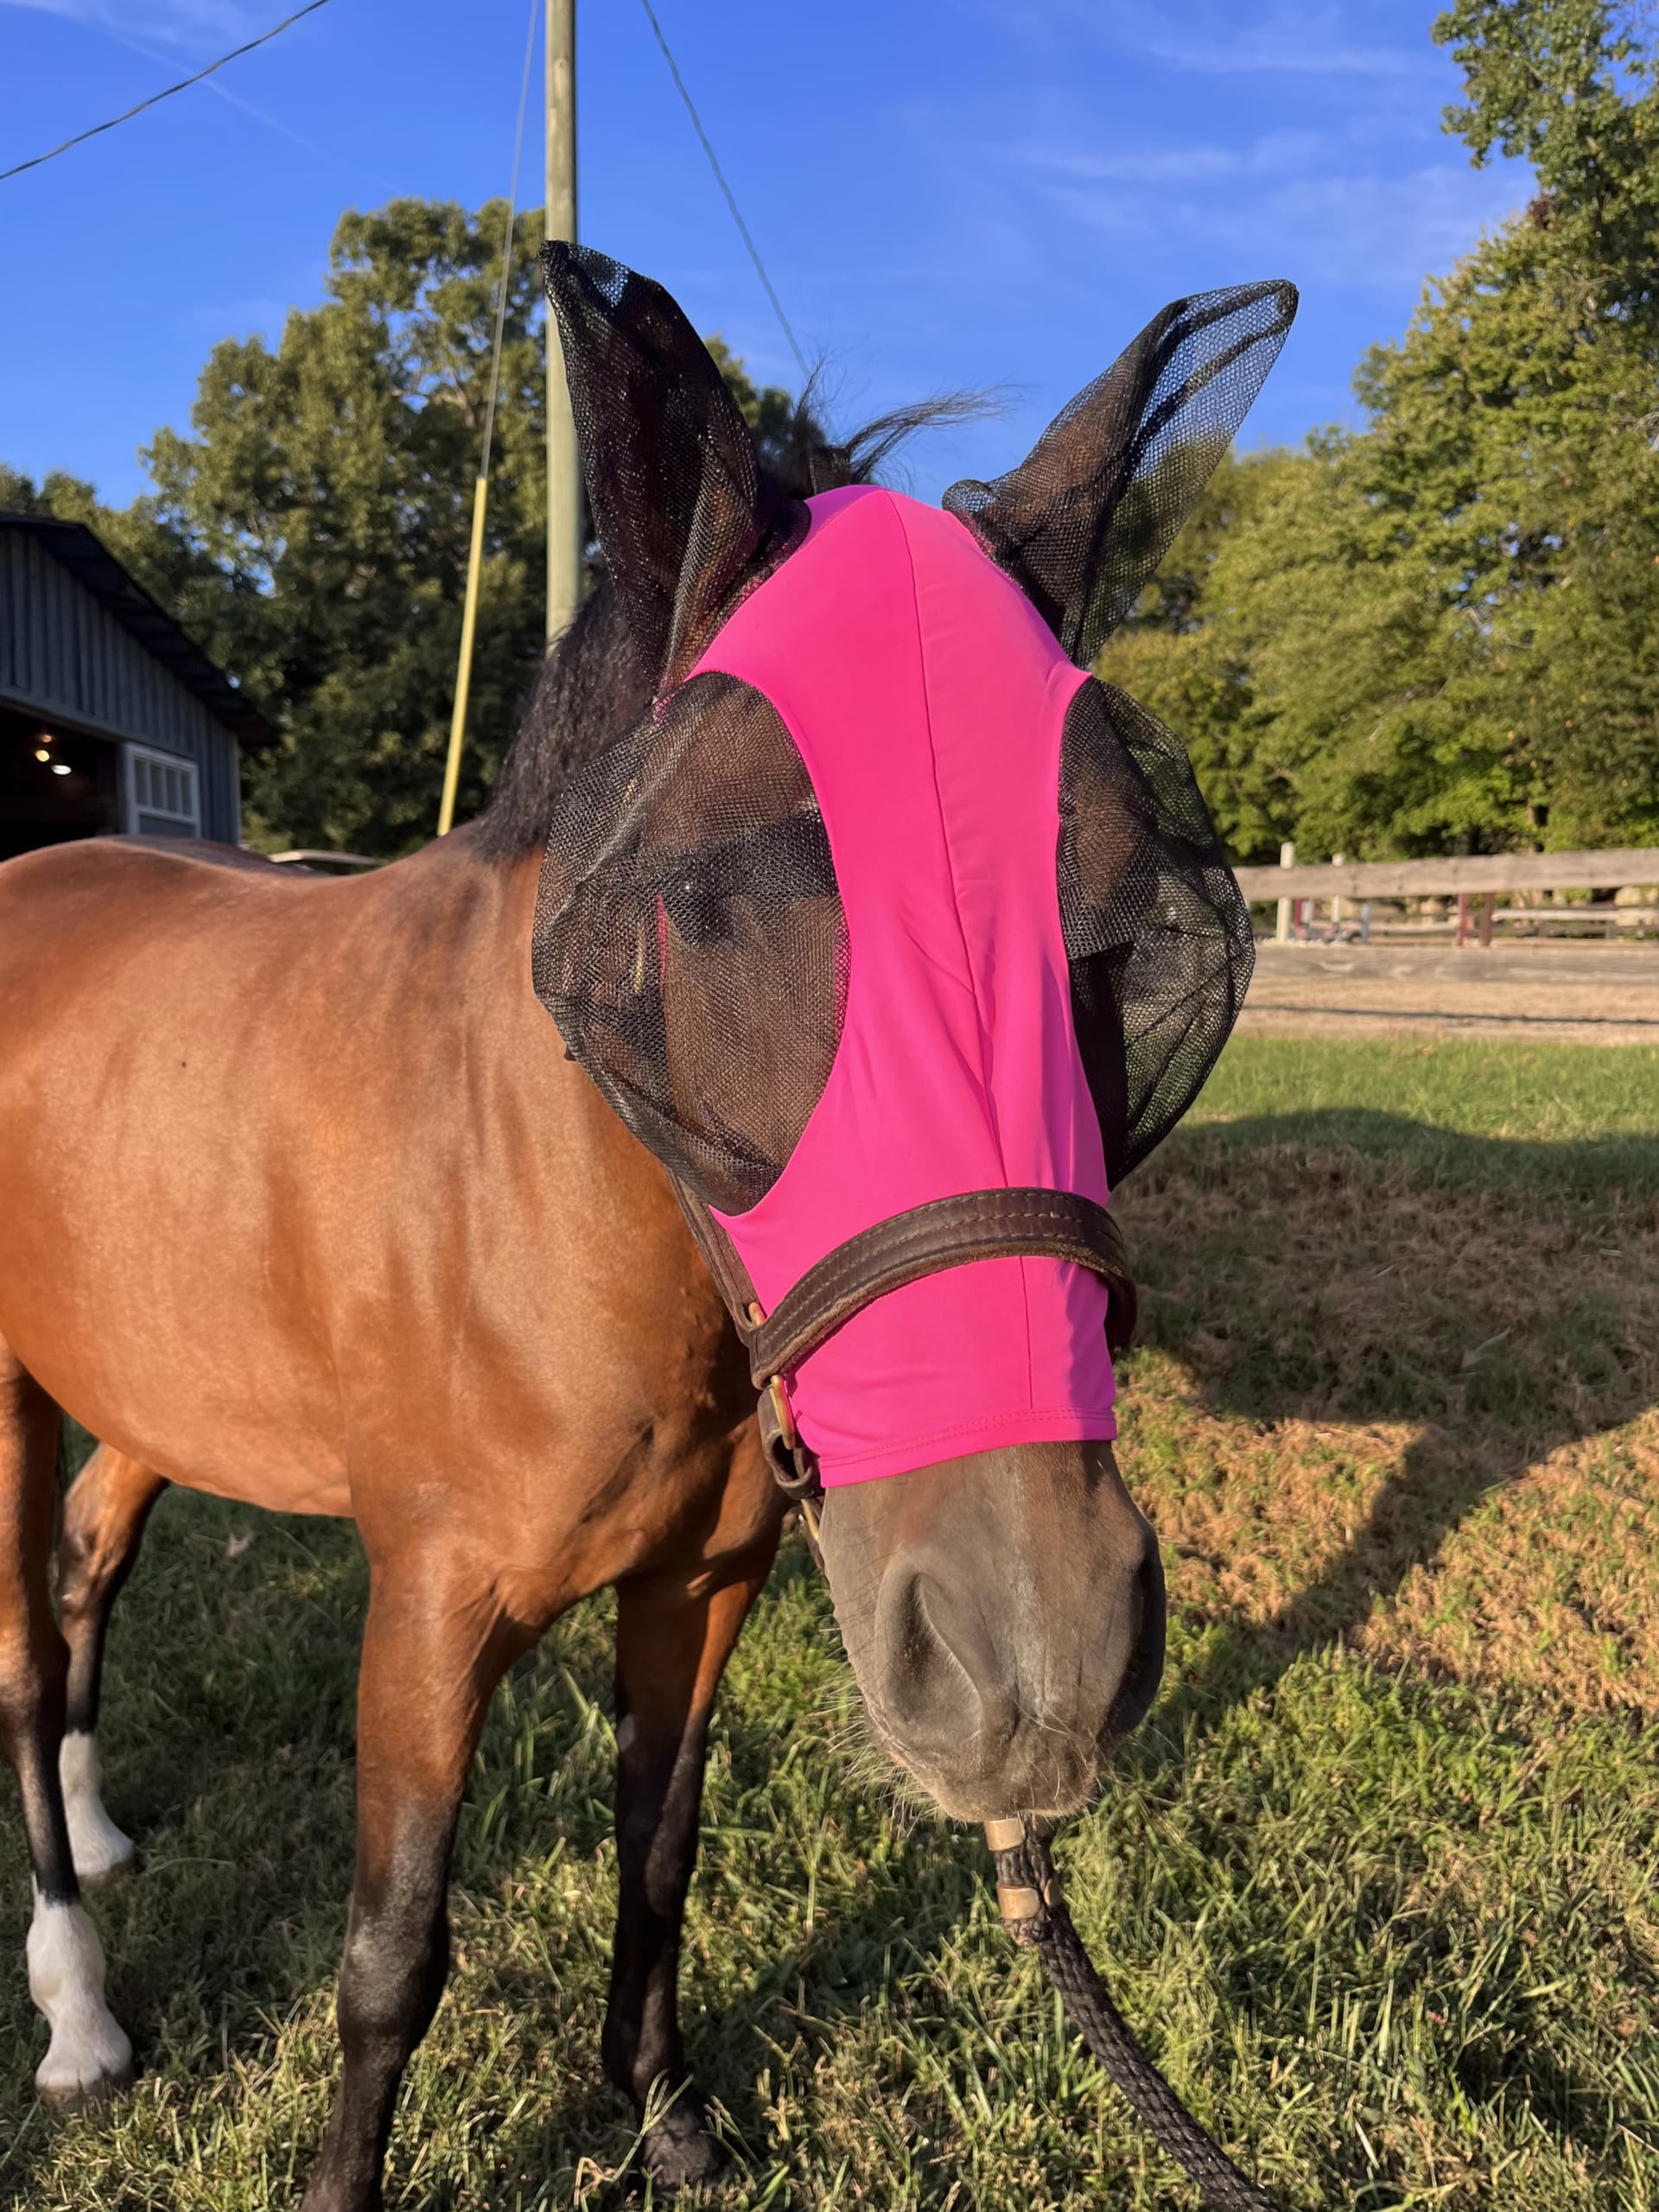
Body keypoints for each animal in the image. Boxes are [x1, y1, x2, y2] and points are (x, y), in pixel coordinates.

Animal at [0, 244, 1290, 2208]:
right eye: (697, 896)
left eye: (1119, 913)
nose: (1036, 1660)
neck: (553, 1203)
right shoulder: (430, 1605)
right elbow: (393, 1949)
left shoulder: (706, 1580)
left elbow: (661, 1844)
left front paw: (661, 2104)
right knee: (19, 1650)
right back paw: (76, 2003)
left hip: (149, 1374)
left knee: (84, 1576)